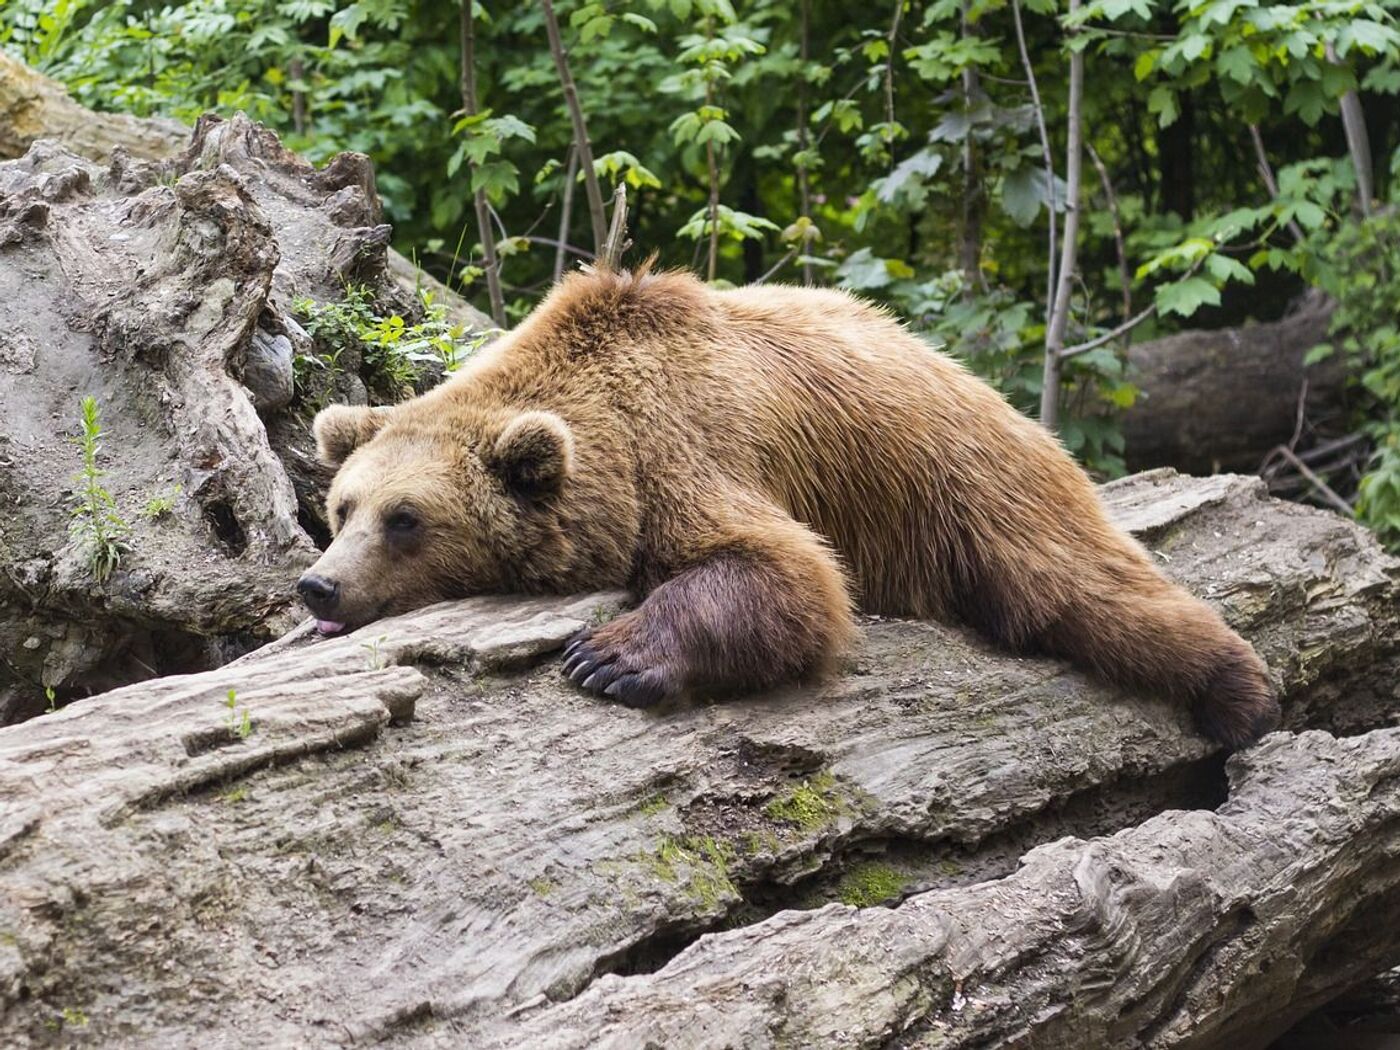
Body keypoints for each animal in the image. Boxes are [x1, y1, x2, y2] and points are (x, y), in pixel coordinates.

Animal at [303, 267, 1282, 750]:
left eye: (406, 519)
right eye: (342, 508)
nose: (320, 586)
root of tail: (969, 376)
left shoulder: (689, 450)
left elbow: (787, 572)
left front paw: (609, 658)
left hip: (968, 485)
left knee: (1081, 589)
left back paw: (1240, 693)